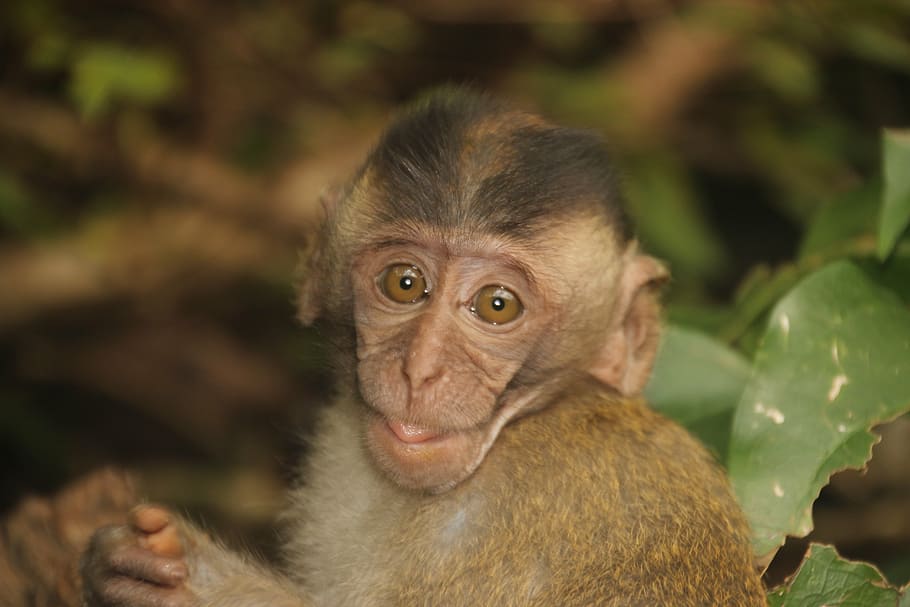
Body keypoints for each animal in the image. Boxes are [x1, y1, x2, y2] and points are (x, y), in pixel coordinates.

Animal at [80, 89, 766, 606]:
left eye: (497, 305)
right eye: (404, 283)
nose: (420, 369)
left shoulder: (535, 508)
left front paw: (190, 582)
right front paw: (138, 568)